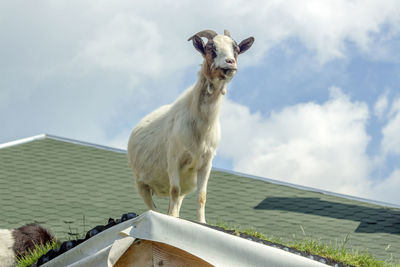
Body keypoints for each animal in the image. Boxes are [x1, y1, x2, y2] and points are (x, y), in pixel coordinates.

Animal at [126, 29, 255, 223]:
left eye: (237, 49)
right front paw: (173, 219)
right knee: (153, 206)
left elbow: (201, 196)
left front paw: (201, 222)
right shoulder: (174, 159)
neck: (201, 128)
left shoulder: (205, 163)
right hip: (140, 182)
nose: (230, 63)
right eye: (210, 48)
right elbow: (174, 190)